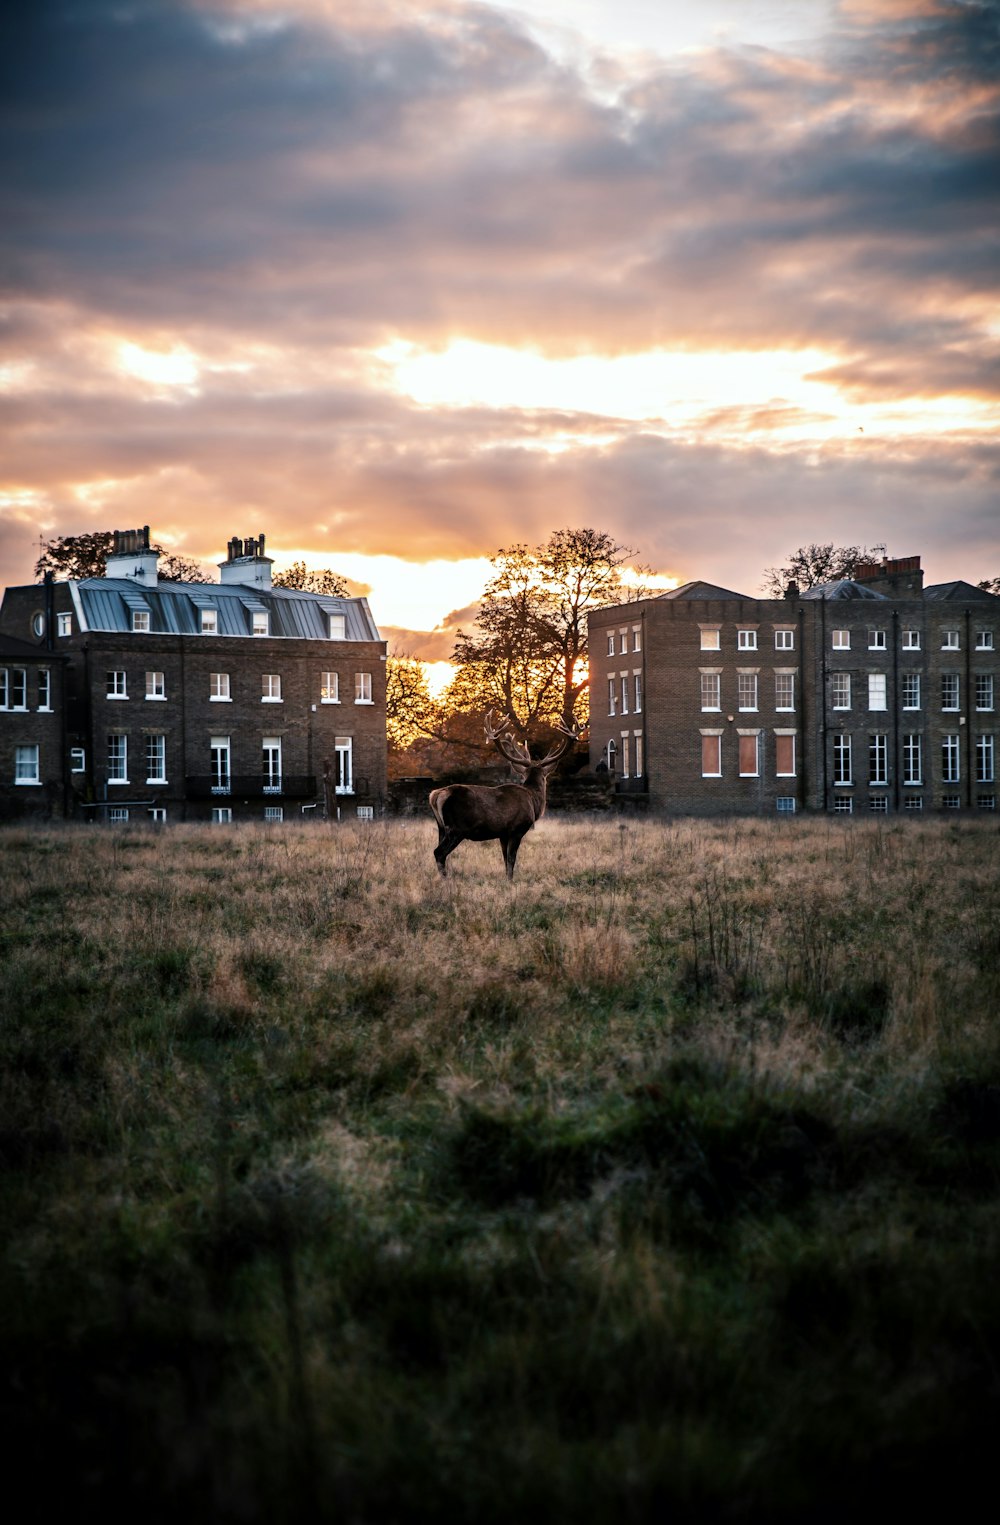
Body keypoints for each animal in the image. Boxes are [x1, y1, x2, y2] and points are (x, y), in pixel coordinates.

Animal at [426, 707, 582, 878]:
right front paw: (511, 880)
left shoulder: (502, 834)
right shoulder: (517, 829)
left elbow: (505, 860)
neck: (533, 800)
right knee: (439, 853)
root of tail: (436, 795)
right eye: (544, 778)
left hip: (441, 827)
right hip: (457, 828)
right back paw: (446, 880)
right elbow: (511, 860)